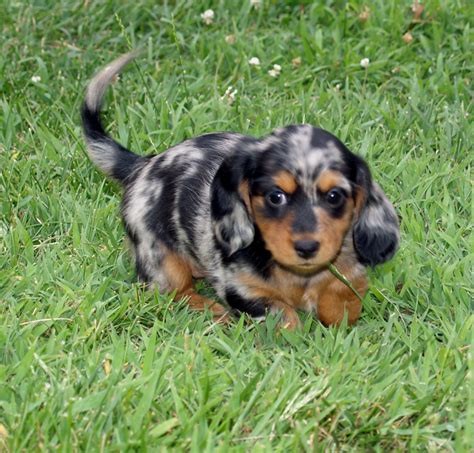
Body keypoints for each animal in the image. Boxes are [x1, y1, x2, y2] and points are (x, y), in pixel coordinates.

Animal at [82, 53, 400, 326]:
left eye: (334, 196)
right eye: (275, 196)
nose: (307, 247)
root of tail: (145, 164)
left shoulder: (350, 273)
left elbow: (343, 296)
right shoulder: (240, 288)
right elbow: (282, 314)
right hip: (158, 255)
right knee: (175, 292)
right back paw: (211, 309)